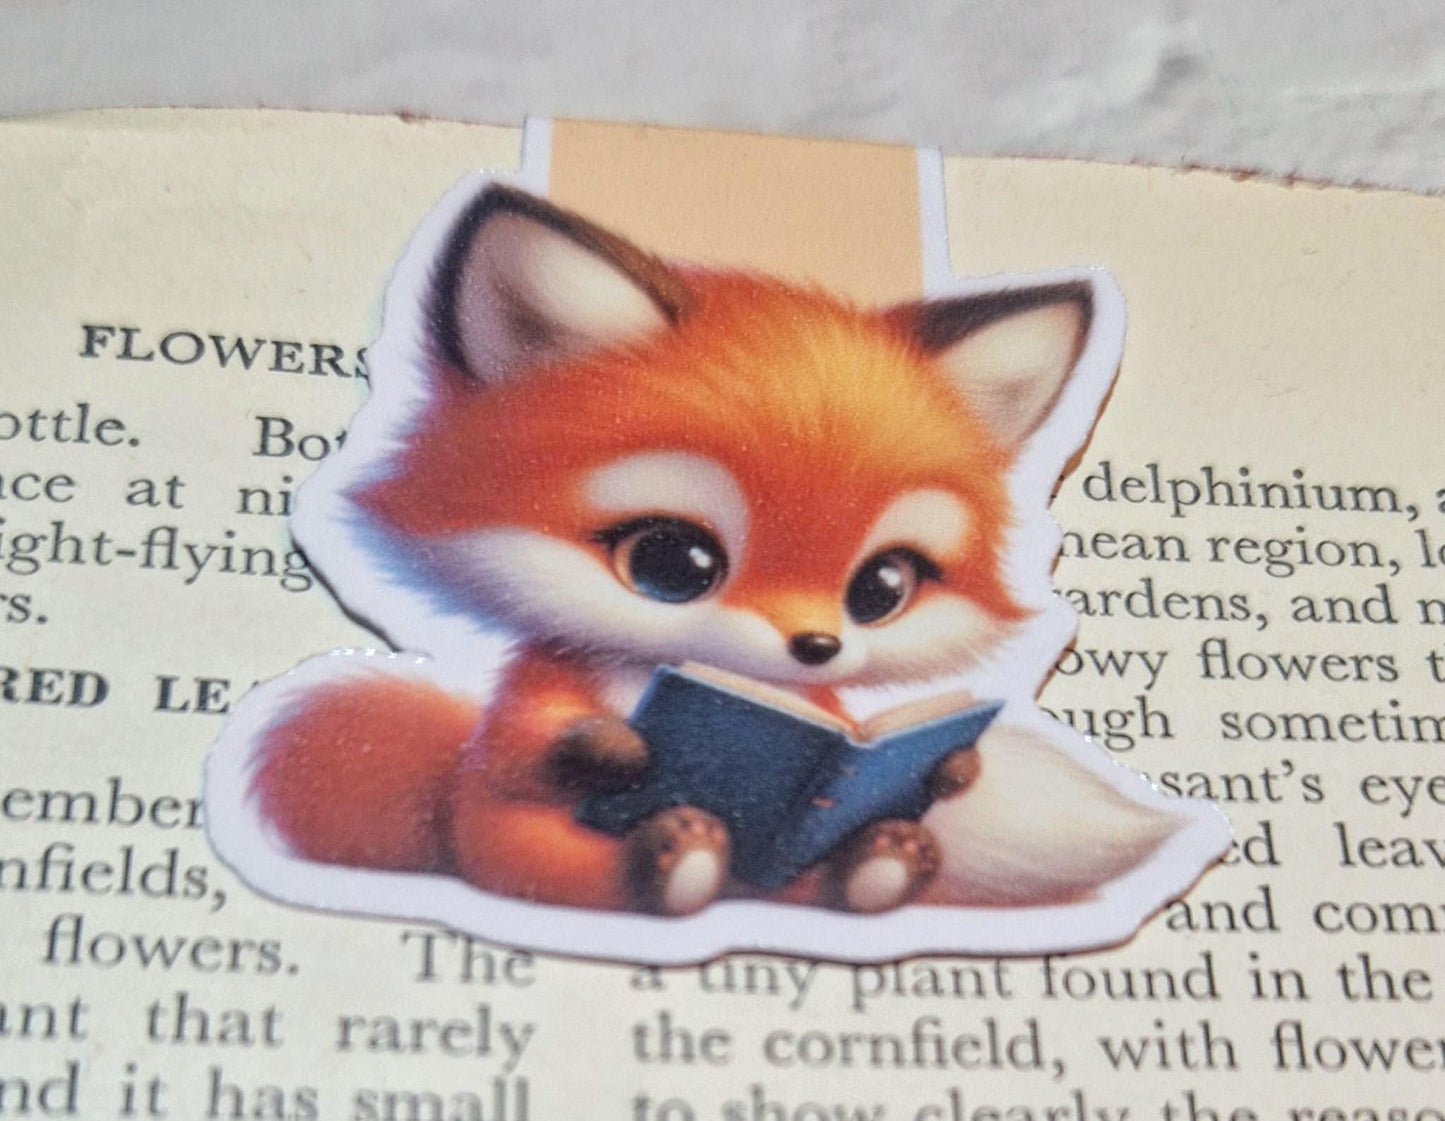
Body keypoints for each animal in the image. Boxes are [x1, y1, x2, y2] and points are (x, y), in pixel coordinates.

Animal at [248, 183, 1188, 921]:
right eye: (672, 565)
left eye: (881, 586)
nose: (817, 646)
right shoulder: (538, 695)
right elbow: (529, 745)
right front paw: (606, 749)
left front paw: (954, 764)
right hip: (510, 843)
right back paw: (681, 857)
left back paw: (882, 864)